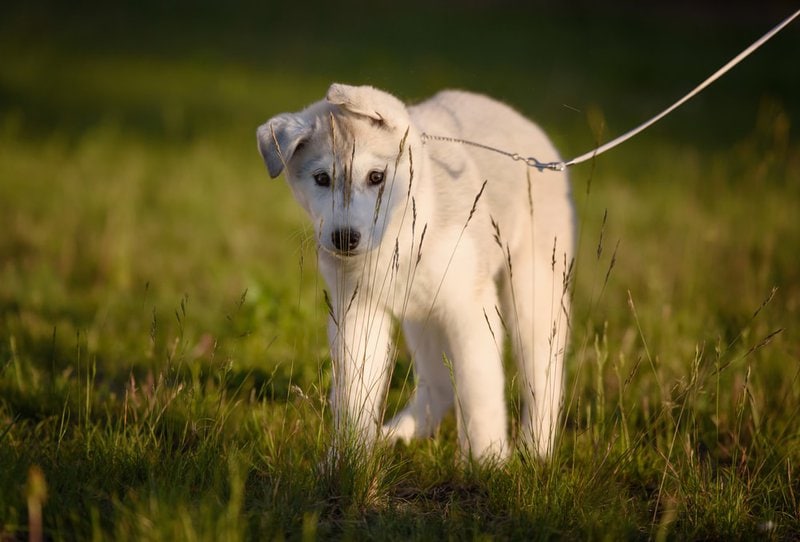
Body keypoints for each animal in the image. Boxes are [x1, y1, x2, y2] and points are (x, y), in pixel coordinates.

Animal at [260, 86, 576, 464]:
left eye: (376, 177)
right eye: (322, 179)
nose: (344, 238)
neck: (403, 235)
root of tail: (525, 124)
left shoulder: (470, 309)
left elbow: (478, 392)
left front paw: (486, 462)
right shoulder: (357, 314)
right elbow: (354, 398)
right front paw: (347, 461)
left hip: (532, 292)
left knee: (544, 377)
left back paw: (536, 449)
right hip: (421, 317)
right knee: (438, 385)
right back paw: (398, 433)